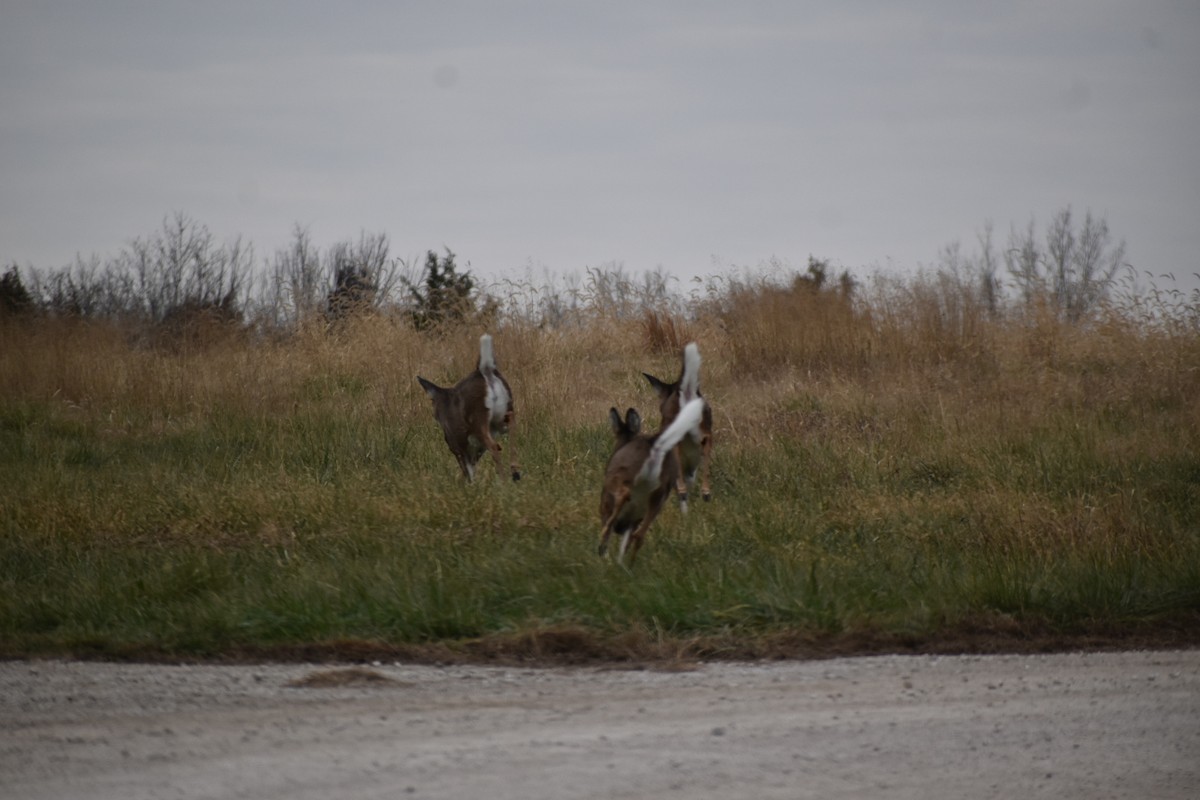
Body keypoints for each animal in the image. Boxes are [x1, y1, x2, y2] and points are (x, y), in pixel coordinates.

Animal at [417, 333, 521, 482]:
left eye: (433, 407)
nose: (435, 415)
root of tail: (484, 370)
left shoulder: (455, 442)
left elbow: (466, 467)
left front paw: (469, 483)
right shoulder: (475, 448)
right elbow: (471, 465)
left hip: (478, 418)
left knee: (493, 445)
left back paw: (503, 481)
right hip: (503, 412)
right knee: (511, 423)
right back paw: (514, 472)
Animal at [598, 397, 706, 566]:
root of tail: (654, 448)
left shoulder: (605, 505)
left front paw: (605, 557)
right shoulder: (633, 519)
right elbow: (626, 542)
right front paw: (618, 562)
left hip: (621, 479)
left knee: (623, 496)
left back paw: (602, 541)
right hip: (659, 495)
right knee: (639, 535)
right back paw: (628, 566)